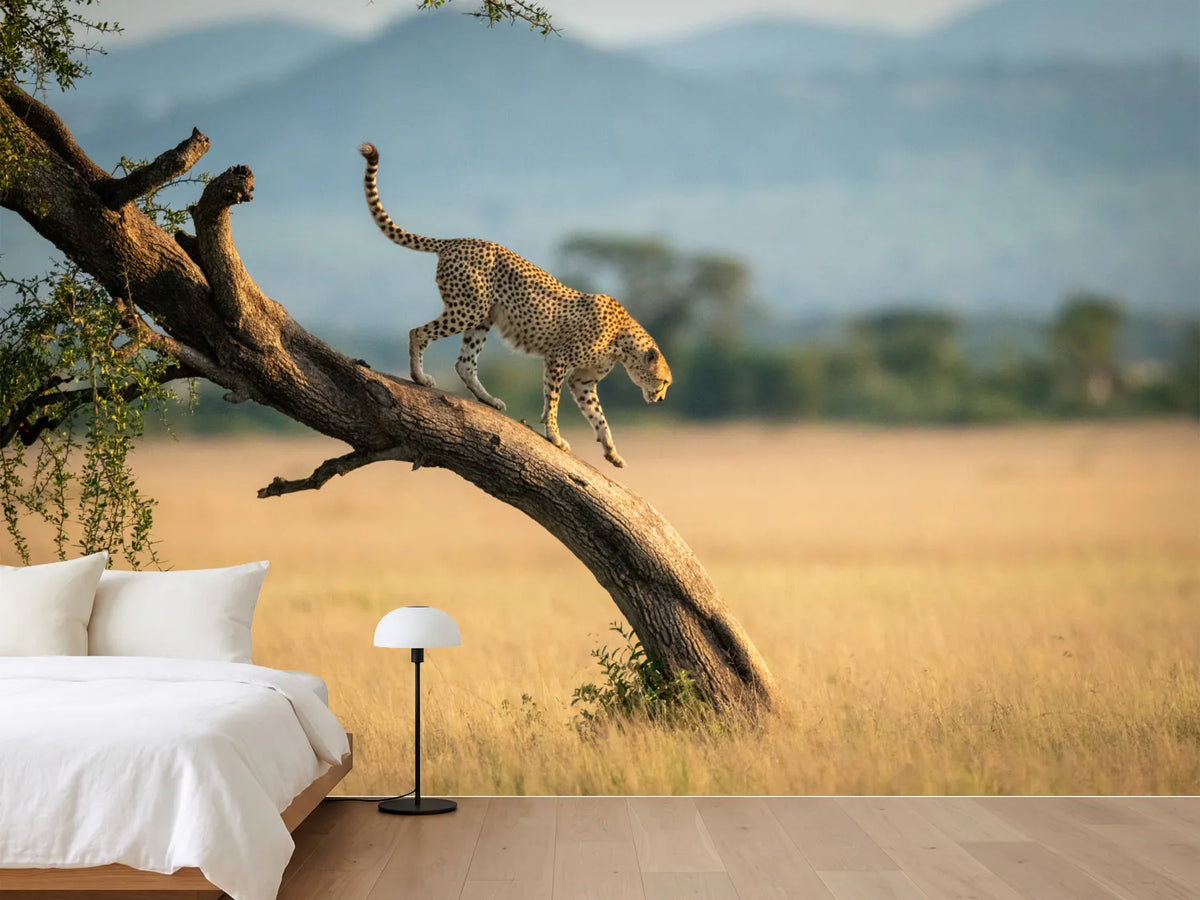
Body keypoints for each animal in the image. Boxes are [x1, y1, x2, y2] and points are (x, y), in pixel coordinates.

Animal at [359, 142, 671, 468]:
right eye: (663, 381)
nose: (660, 398)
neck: (623, 342)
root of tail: (458, 240)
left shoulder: (583, 381)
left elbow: (598, 416)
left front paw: (611, 451)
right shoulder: (558, 358)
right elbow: (553, 401)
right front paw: (554, 436)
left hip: (482, 317)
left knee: (465, 363)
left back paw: (488, 399)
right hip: (467, 309)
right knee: (418, 333)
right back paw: (419, 377)